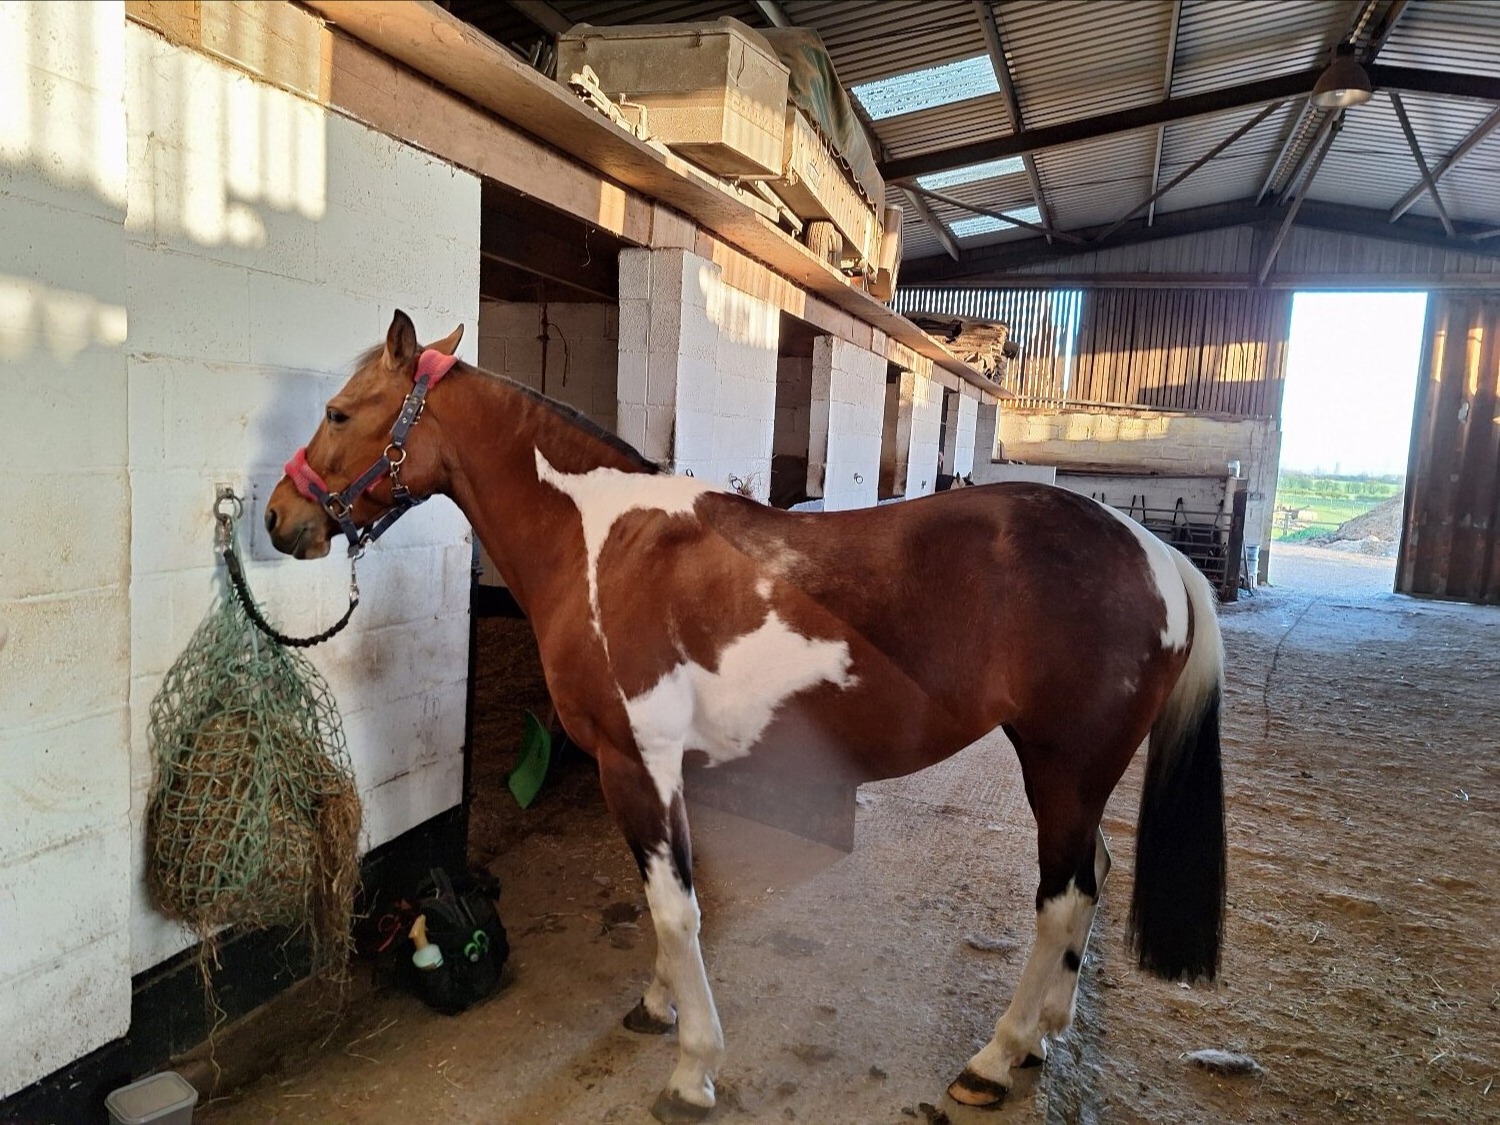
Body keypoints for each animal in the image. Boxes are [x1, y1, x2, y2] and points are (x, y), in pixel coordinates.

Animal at [264, 311, 1226, 1121]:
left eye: (340, 412)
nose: (280, 518)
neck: (600, 543)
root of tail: (1157, 554)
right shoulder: (663, 771)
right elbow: (670, 901)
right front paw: (659, 1005)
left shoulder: (634, 762)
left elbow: (674, 908)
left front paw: (693, 1067)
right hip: (1077, 779)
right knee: (1093, 877)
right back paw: (1042, 1037)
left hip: (1060, 769)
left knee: (1063, 900)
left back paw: (994, 1058)